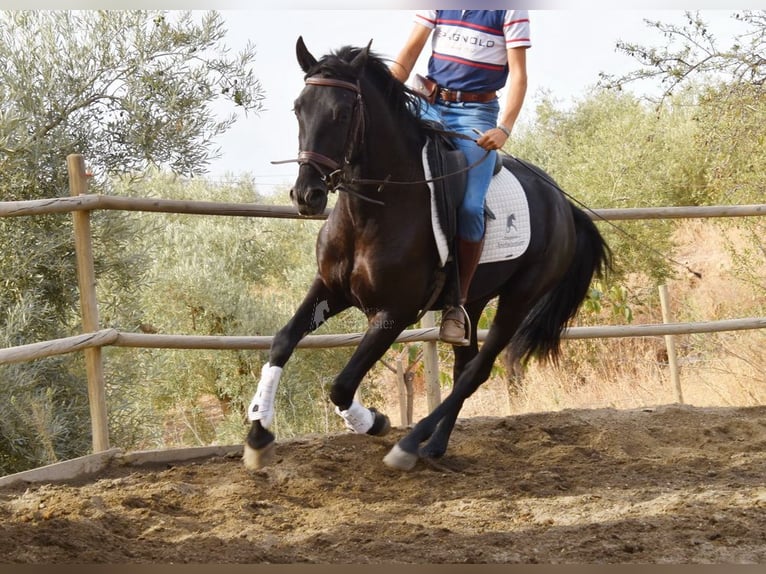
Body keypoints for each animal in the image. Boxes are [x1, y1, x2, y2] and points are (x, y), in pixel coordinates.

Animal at [244, 39, 612, 472]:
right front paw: (258, 436)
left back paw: (410, 445)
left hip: (519, 299)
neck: (374, 211)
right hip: (472, 299)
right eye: (299, 108)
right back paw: (434, 445)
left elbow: (342, 385)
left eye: (342, 112)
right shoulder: (329, 290)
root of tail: (561, 203)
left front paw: (373, 422)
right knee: (465, 364)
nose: (307, 195)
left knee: (476, 371)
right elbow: (283, 341)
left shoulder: (397, 312)